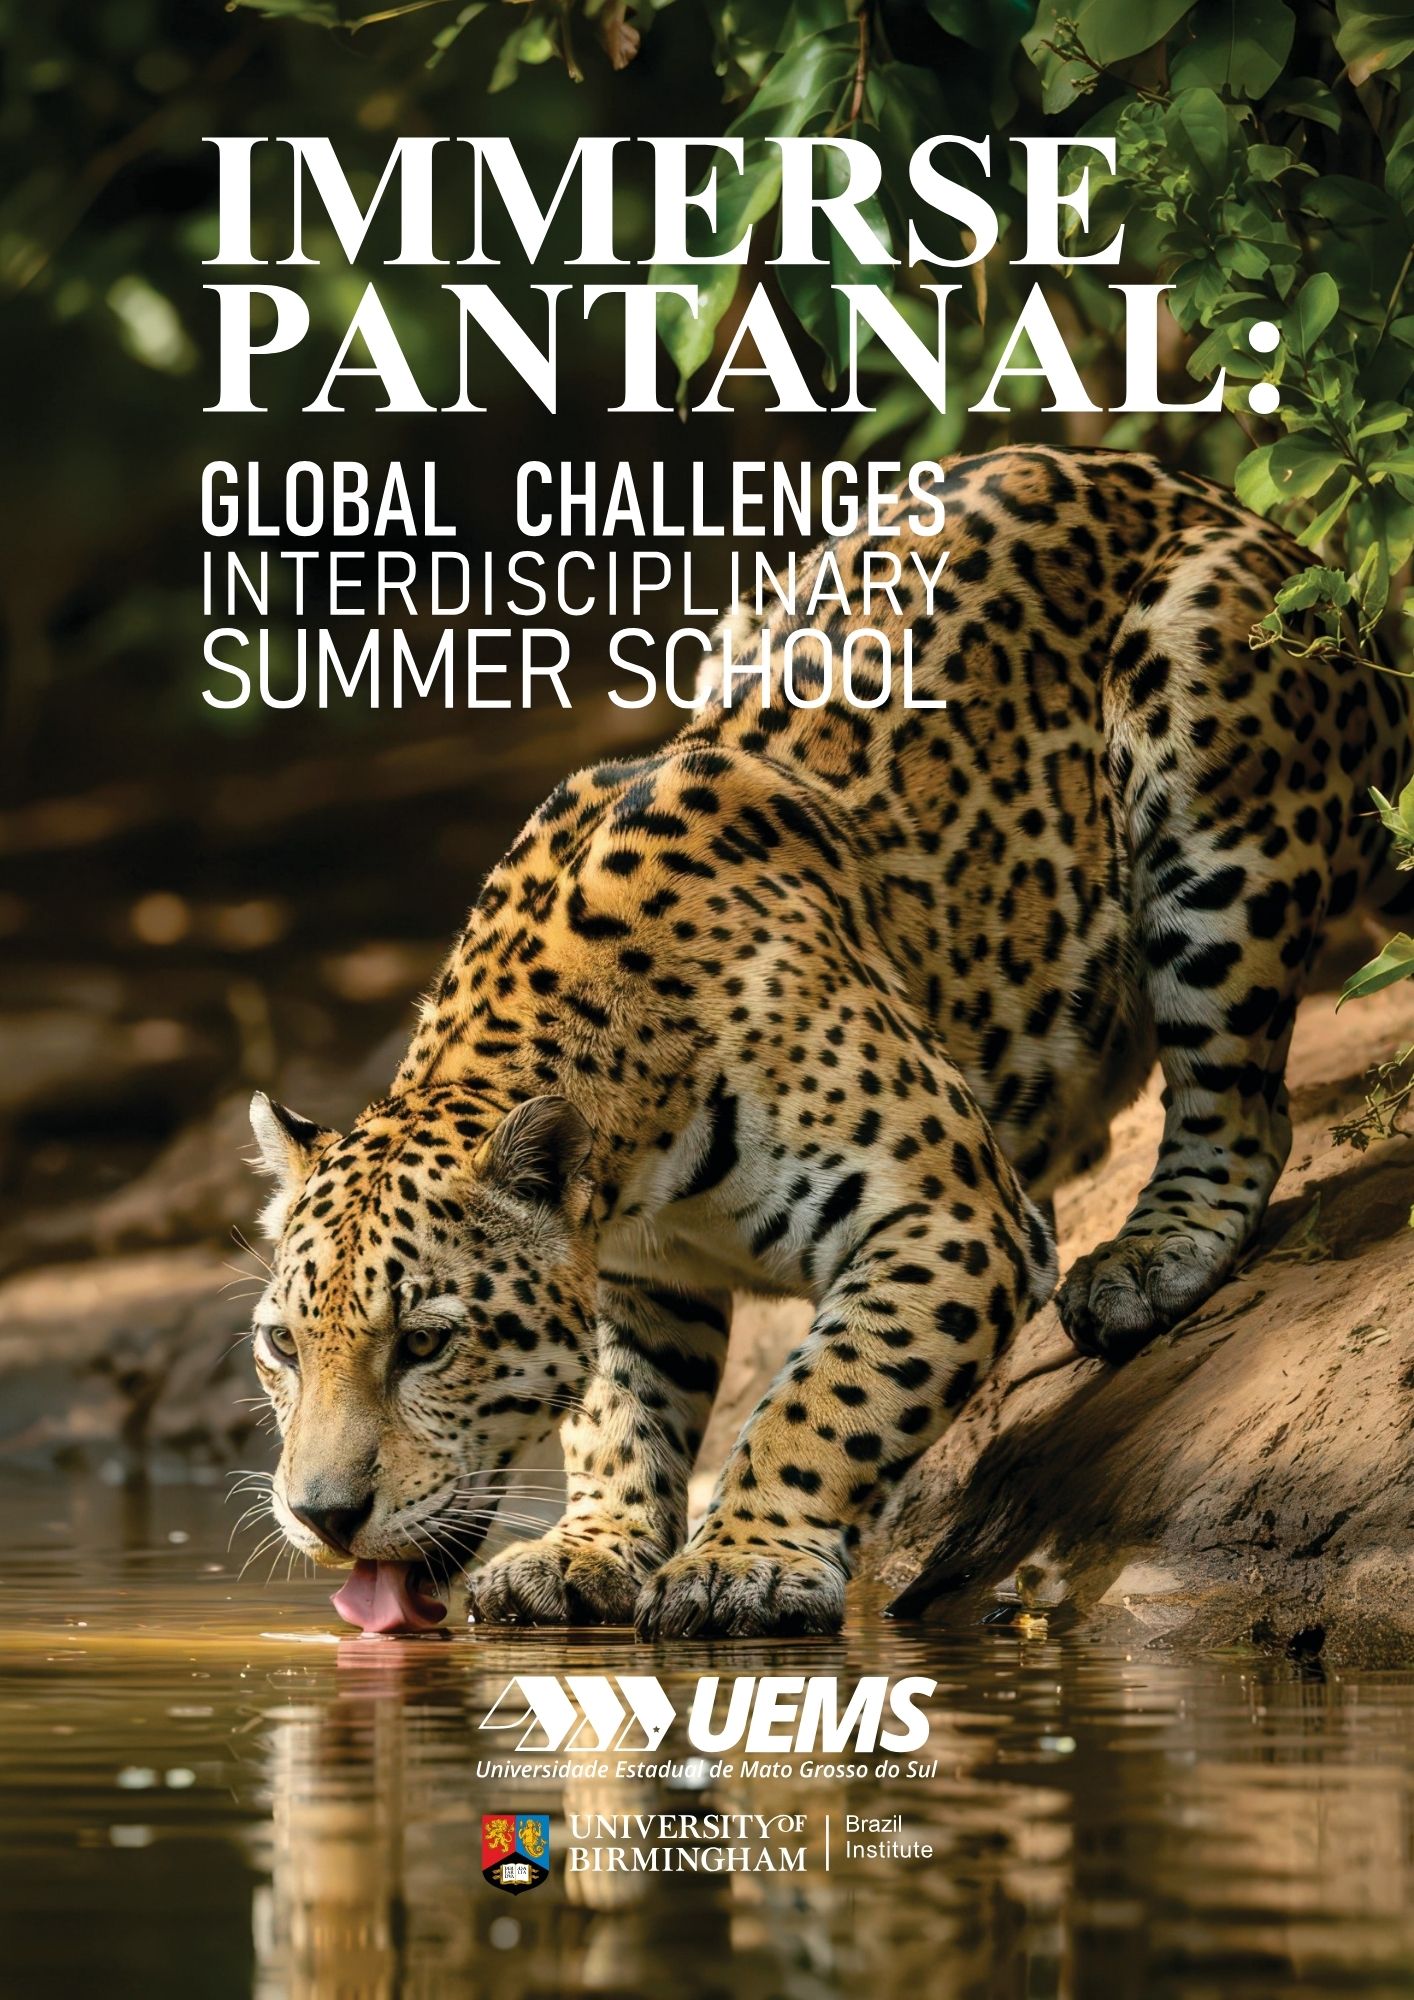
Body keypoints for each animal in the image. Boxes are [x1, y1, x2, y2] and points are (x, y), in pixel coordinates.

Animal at [245, 444, 1412, 1640]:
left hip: (1216, 786)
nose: (321, 1514)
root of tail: (1221, 503)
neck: (631, 1148)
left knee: (1239, 1108)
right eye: (282, 1345)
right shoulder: (634, 1279)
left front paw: (740, 1563)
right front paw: (590, 1546)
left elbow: (829, 1393)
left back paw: (1146, 1257)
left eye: (426, 1343)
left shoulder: (950, 1215)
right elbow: (617, 1413)